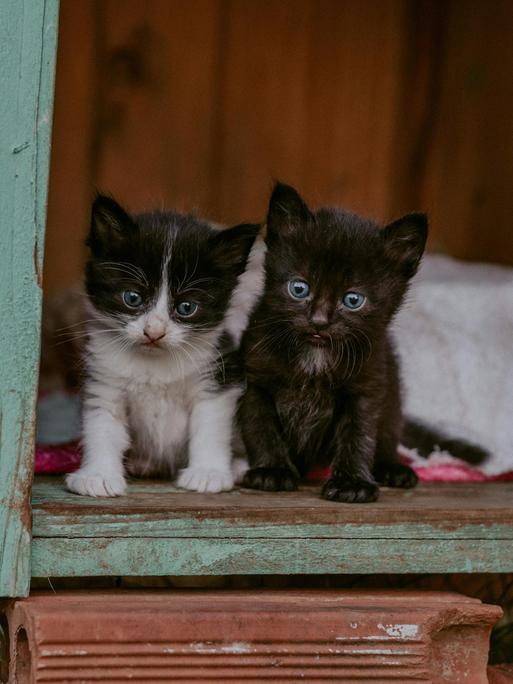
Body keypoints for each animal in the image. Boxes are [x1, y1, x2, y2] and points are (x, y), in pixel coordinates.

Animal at [66, 196, 258, 496]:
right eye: (132, 298)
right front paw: (97, 475)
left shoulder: (218, 374)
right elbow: (102, 425)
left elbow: (210, 427)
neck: (153, 363)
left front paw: (208, 472)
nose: (154, 332)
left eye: (186, 307)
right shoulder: (104, 379)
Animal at [238, 182, 426, 502]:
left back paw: (392, 468)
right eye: (299, 288)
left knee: (387, 433)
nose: (319, 321)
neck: (315, 356)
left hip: (392, 397)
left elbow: (358, 435)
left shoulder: (366, 388)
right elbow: (260, 425)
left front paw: (352, 482)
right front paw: (271, 470)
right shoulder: (256, 380)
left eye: (353, 300)